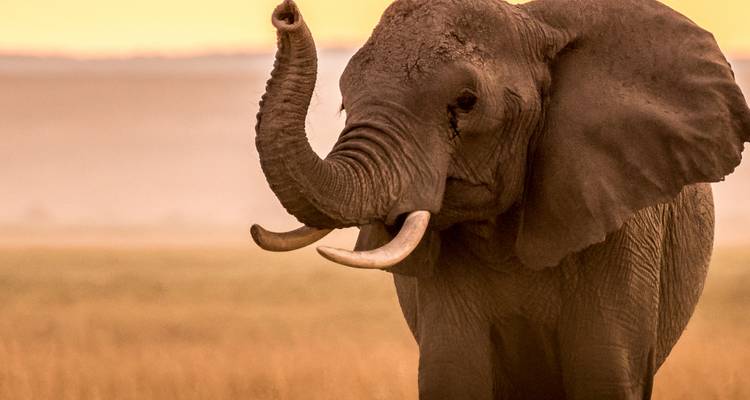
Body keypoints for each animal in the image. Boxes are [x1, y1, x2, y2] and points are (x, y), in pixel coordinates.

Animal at [251, 0, 750, 398]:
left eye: (466, 101)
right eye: (343, 105)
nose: (286, 13)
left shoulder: (624, 224)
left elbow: (603, 372)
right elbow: (453, 372)